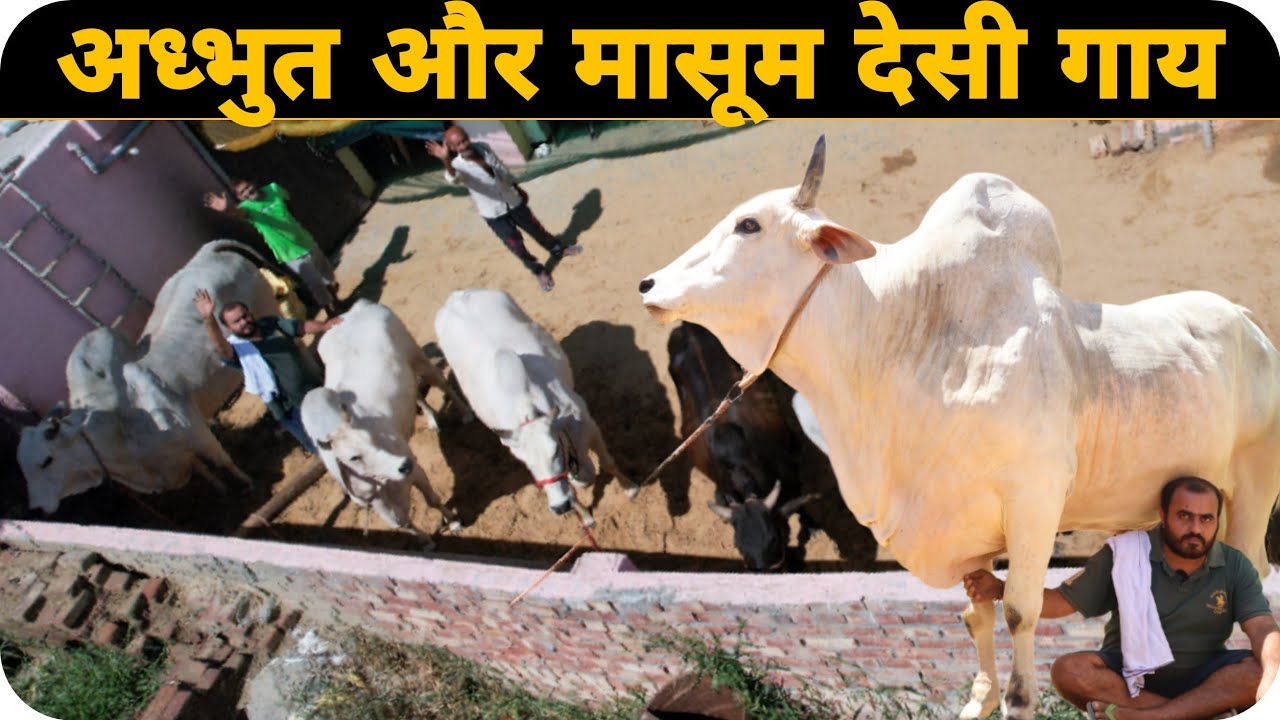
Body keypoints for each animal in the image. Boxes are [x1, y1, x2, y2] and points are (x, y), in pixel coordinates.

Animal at [301, 299, 469, 547]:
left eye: (371, 438)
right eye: (353, 457)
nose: (403, 465)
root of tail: (356, 309)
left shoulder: (417, 471)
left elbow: (432, 500)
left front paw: (455, 523)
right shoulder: (376, 503)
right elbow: (402, 523)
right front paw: (427, 542)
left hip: (416, 356)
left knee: (439, 381)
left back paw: (466, 414)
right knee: (416, 393)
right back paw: (431, 419)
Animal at [434, 288, 639, 527]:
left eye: (555, 450)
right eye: (525, 462)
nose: (560, 507)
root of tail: (455, 296)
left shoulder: (591, 428)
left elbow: (608, 463)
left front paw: (630, 489)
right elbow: (573, 489)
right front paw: (586, 518)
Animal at [666, 321, 819, 571]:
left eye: (774, 538)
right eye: (739, 547)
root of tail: (688, 326)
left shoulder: (790, 475)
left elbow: (800, 502)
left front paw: (811, 525)